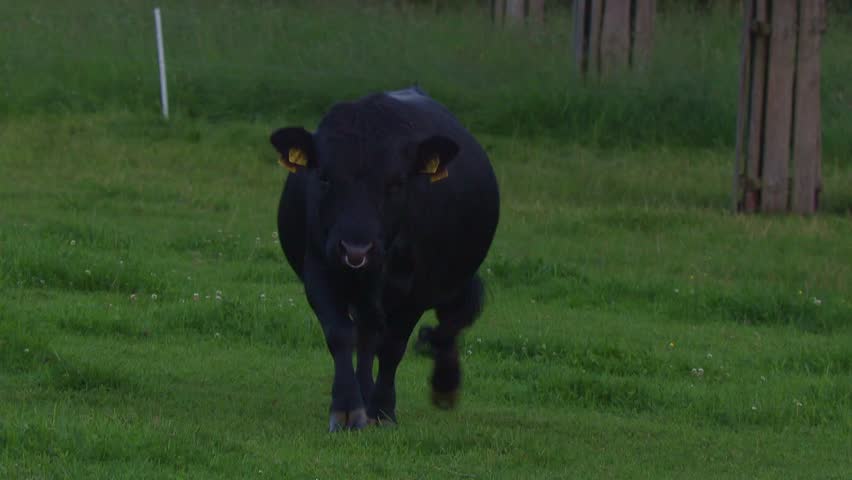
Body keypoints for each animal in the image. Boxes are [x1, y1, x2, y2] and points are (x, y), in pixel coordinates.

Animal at [270, 86, 500, 432]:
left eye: (395, 182)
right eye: (324, 178)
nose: (356, 250)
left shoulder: (418, 289)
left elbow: (393, 346)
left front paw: (382, 409)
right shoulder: (320, 273)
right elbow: (341, 335)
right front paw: (348, 408)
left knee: (448, 319)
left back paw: (441, 383)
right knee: (367, 336)